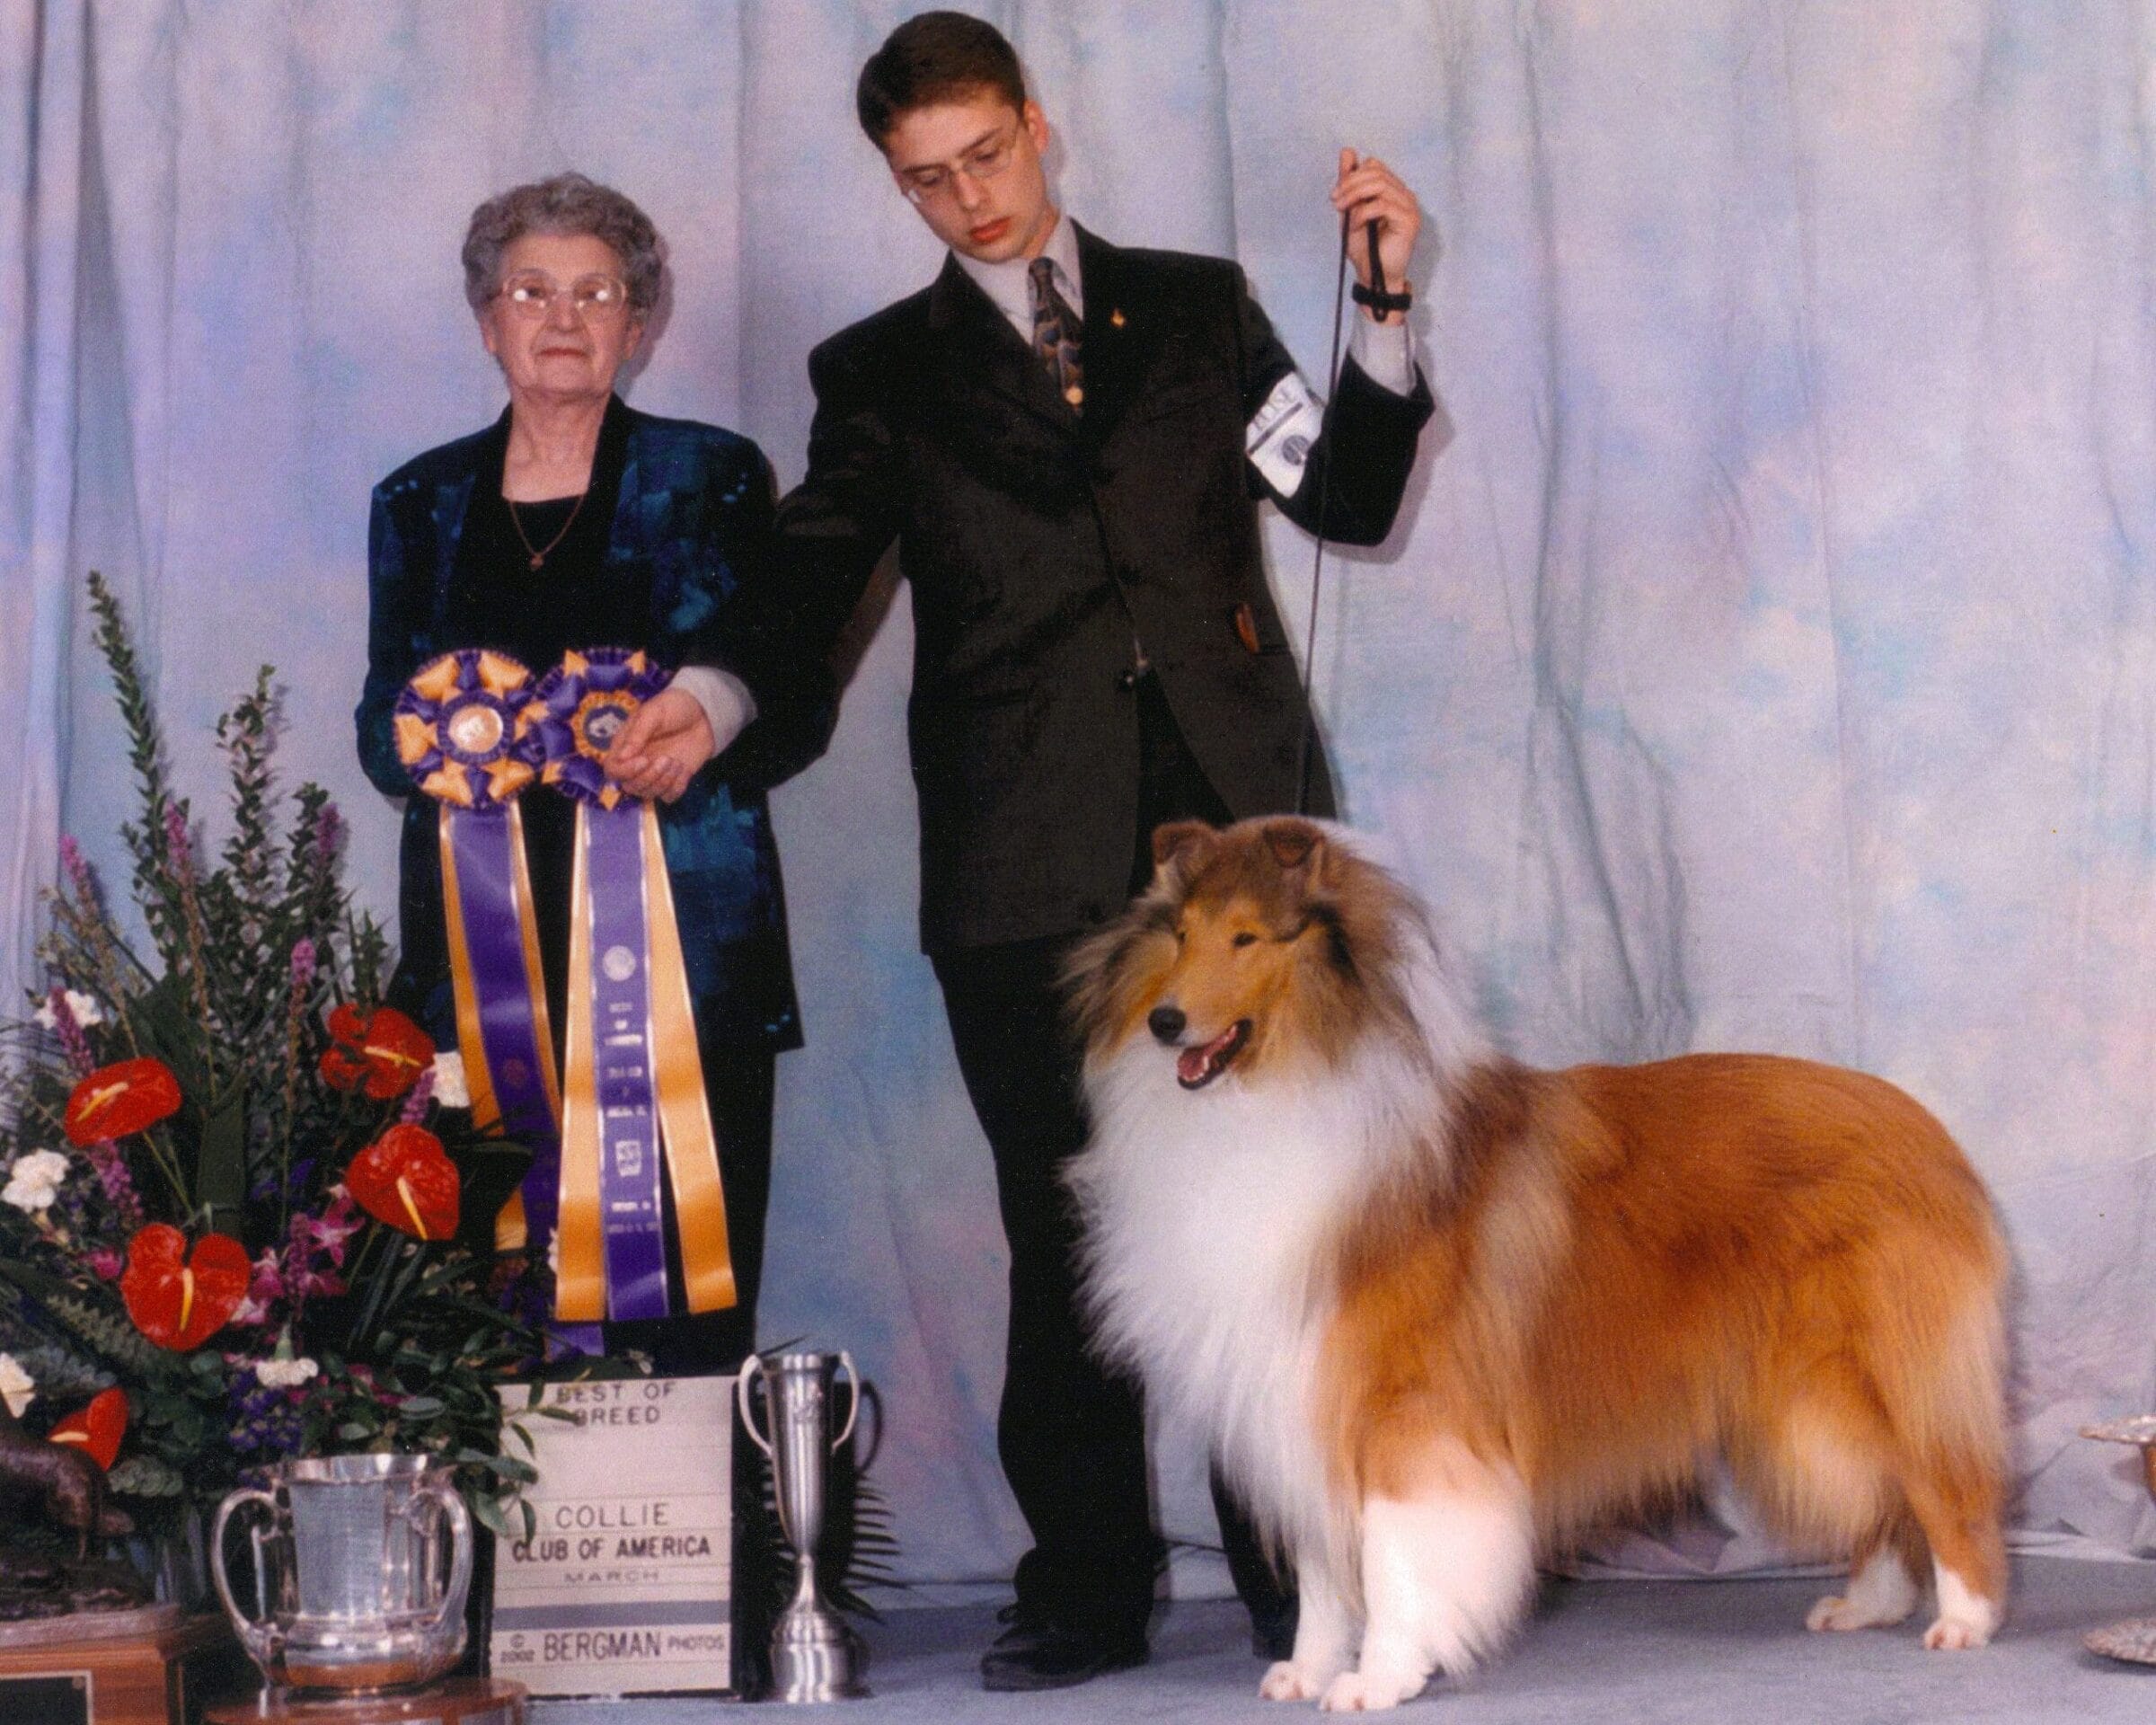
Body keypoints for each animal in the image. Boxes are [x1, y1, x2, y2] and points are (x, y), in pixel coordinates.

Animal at [1069, 823, 2009, 1707]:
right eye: (1180, 934)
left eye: (1246, 938)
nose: (1164, 1023)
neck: (1281, 1094)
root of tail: (1927, 1132)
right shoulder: (1301, 1393)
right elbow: (1327, 1571)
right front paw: (1308, 1670)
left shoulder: (1405, 1411)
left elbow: (1389, 1556)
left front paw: (1379, 1679)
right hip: (1807, 1398)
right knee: (1880, 1494)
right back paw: (1870, 1604)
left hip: (1876, 1367)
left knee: (1941, 1479)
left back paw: (1965, 1620)